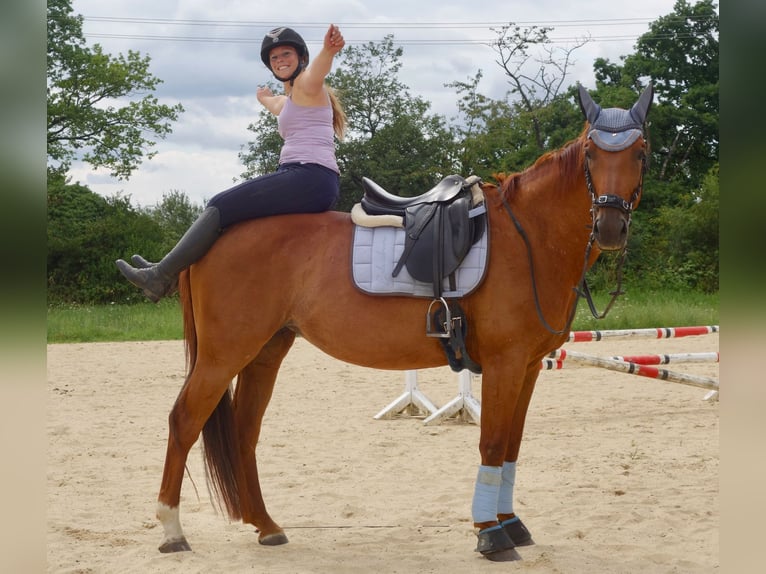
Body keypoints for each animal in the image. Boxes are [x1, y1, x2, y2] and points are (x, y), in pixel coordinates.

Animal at [154, 84, 653, 561]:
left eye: (640, 152)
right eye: (590, 153)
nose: (610, 226)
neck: (528, 237)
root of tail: (215, 232)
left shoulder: (529, 368)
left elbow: (512, 445)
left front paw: (510, 522)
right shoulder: (505, 365)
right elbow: (492, 443)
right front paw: (490, 534)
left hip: (266, 351)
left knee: (244, 431)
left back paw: (266, 525)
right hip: (224, 354)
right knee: (184, 419)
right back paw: (172, 530)